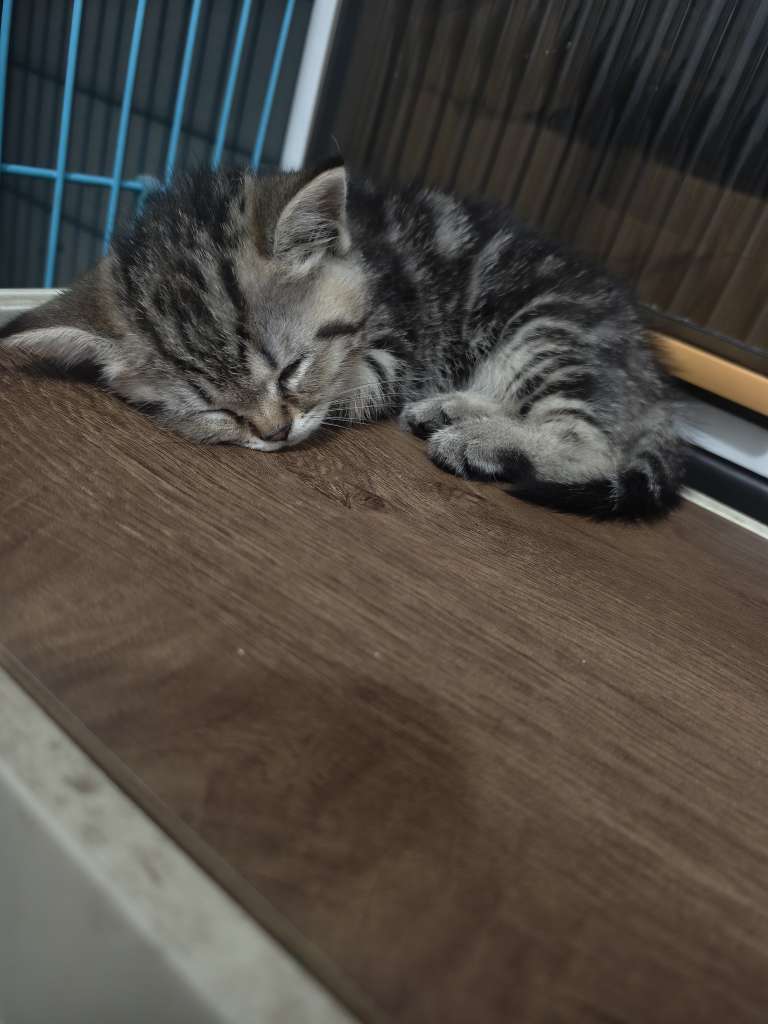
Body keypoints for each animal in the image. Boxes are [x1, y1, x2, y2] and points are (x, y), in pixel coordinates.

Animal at [1, 158, 683, 519]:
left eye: (291, 369)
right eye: (217, 410)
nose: (275, 434)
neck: (366, 254)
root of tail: (651, 373)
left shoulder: (403, 336)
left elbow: (357, 382)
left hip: (546, 328)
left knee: (588, 441)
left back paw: (481, 441)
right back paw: (454, 409)